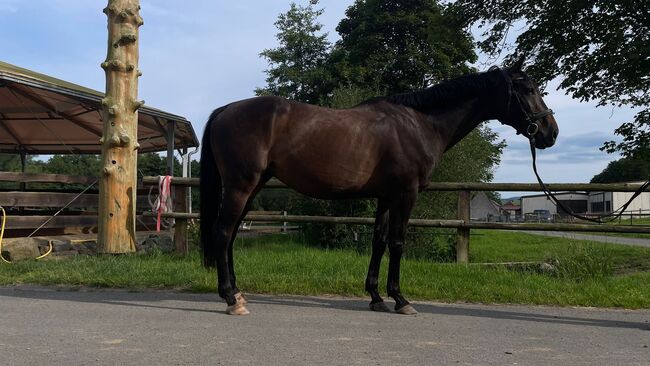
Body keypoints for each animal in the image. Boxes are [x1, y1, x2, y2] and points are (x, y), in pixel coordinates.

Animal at [199, 59, 556, 314]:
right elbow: (398, 243)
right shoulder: (406, 194)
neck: (420, 123)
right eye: (528, 89)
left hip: (252, 187)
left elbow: (379, 242)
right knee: (222, 232)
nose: (550, 132)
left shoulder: (386, 196)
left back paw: (238, 292)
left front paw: (375, 296)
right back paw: (230, 299)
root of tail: (225, 110)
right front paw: (401, 299)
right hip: (240, 186)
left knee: (231, 235)